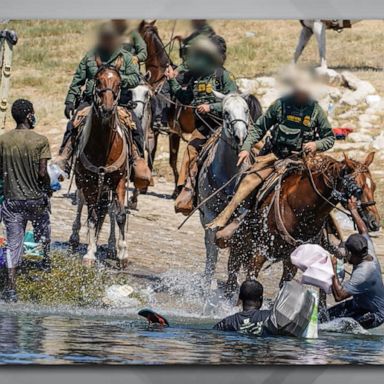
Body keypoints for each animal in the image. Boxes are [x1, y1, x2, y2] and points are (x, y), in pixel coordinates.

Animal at [68, 62, 130, 268]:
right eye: (98, 80)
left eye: (119, 83)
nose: (107, 109)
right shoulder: (89, 183)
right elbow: (92, 217)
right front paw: (90, 253)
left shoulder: (119, 181)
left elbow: (120, 215)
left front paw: (122, 254)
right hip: (83, 183)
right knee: (81, 203)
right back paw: (75, 237)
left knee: (109, 210)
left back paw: (111, 246)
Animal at [226, 152, 380, 296]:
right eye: (359, 189)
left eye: (374, 186)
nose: (375, 222)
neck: (299, 210)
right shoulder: (260, 251)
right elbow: (250, 280)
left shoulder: (291, 259)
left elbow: (284, 285)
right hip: (239, 241)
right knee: (232, 271)